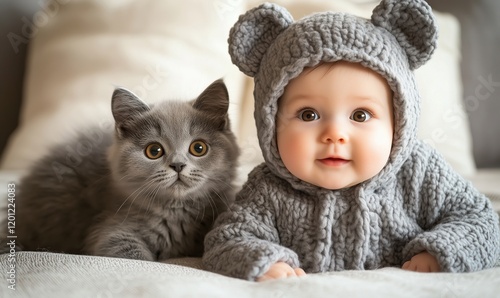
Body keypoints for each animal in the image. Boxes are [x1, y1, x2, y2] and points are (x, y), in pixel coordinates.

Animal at [2, 79, 239, 260]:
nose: (178, 165)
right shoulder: (111, 232)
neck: (176, 210)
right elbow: (135, 256)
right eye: (154, 151)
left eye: (198, 148)